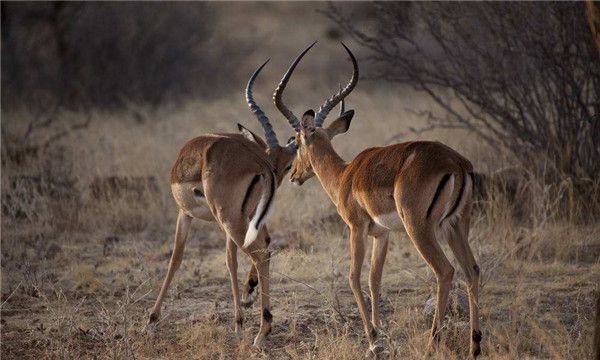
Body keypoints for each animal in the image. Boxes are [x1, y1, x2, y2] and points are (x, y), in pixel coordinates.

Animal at [147, 45, 314, 348]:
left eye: (288, 165)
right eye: (278, 160)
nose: (279, 176)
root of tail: (256, 164)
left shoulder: (185, 214)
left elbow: (177, 258)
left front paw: (152, 318)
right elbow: (232, 259)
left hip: (229, 218)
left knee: (260, 253)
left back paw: (261, 329)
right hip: (242, 218)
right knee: (263, 248)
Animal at [262, 43, 482, 358]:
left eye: (298, 141)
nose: (293, 175)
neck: (345, 175)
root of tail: (456, 163)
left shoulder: (357, 228)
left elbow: (354, 277)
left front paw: (372, 339)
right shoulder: (382, 234)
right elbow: (374, 279)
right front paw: (380, 333)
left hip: (420, 229)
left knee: (445, 270)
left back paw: (432, 344)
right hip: (457, 226)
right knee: (472, 271)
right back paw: (475, 344)